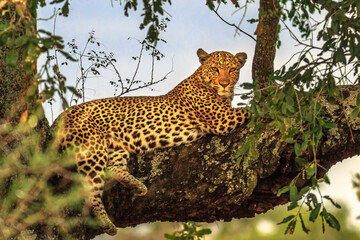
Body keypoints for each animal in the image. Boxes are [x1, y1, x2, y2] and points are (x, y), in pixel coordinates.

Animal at [52, 47, 250, 235]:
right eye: (215, 69)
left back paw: (138, 186)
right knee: (89, 189)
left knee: (112, 169)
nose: (224, 83)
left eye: (232, 70)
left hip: (116, 148)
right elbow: (249, 109)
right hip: (92, 150)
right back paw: (106, 223)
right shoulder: (222, 119)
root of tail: (62, 116)